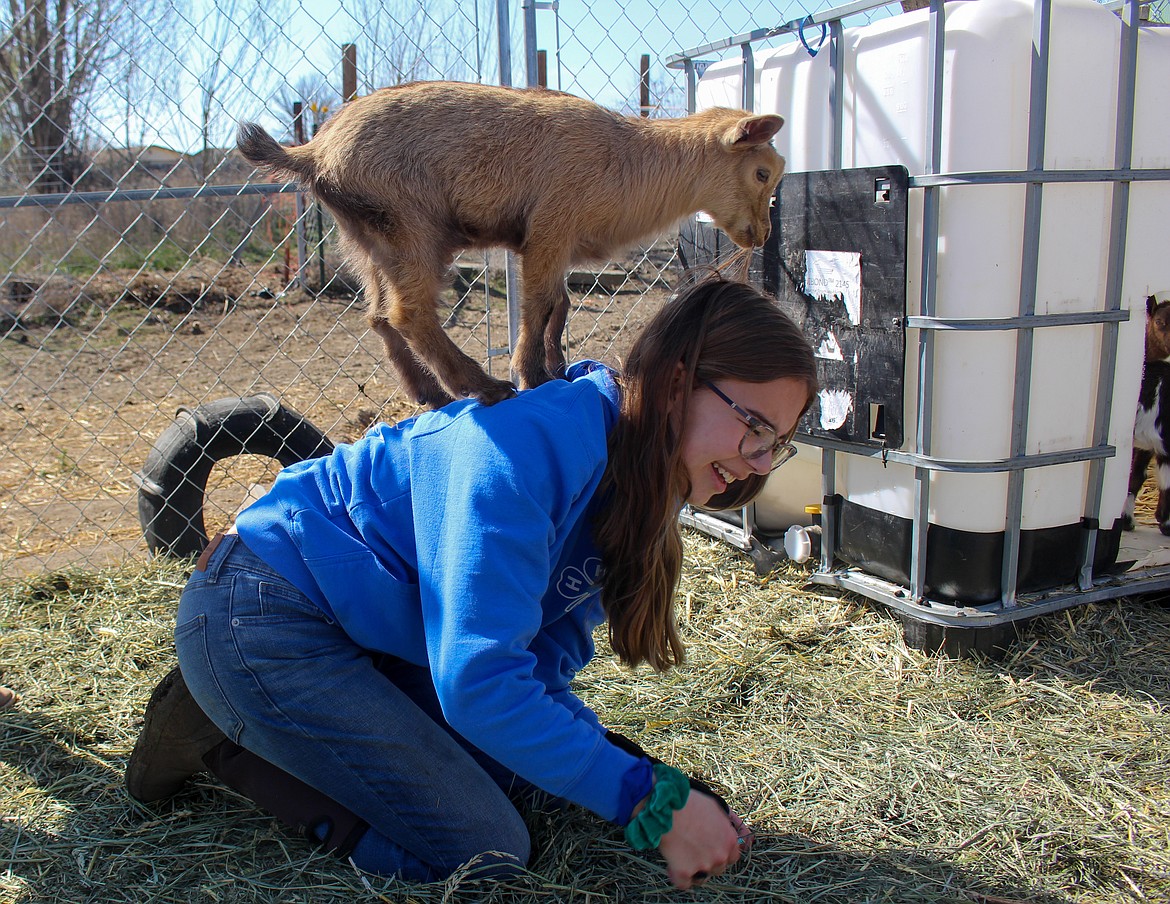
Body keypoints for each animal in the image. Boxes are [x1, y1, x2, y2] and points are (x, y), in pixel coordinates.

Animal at [237, 81, 786, 404]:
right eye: (762, 173)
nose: (761, 235)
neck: (629, 157)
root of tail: (314, 151)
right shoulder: (548, 229)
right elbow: (537, 303)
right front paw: (531, 375)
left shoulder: (557, 241)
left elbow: (558, 304)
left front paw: (557, 364)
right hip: (412, 225)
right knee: (408, 314)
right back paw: (480, 386)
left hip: (369, 240)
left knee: (378, 316)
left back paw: (429, 394)